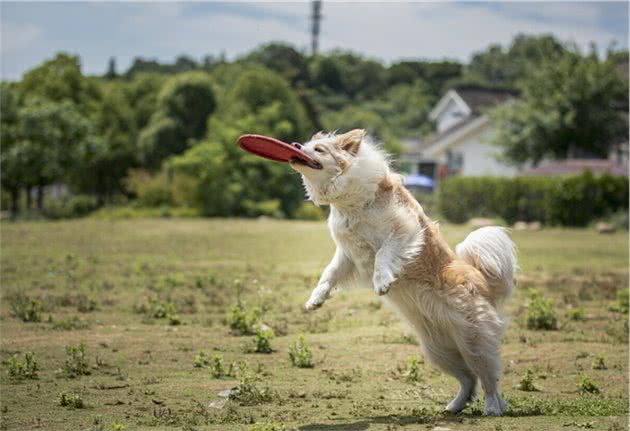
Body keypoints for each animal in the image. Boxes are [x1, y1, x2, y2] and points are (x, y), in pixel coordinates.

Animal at [292, 130, 520, 416]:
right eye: (305, 144)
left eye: (319, 150)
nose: (295, 145)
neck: (349, 202)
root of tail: (483, 282)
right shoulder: (346, 255)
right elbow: (328, 275)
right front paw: (315, 300)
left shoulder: (404, 230)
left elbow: (383, 255)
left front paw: (382, 282)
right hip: (438, 351)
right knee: (469, 380)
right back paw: (454, 407)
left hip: (475, 343)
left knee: (489, 380)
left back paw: (492, 408)